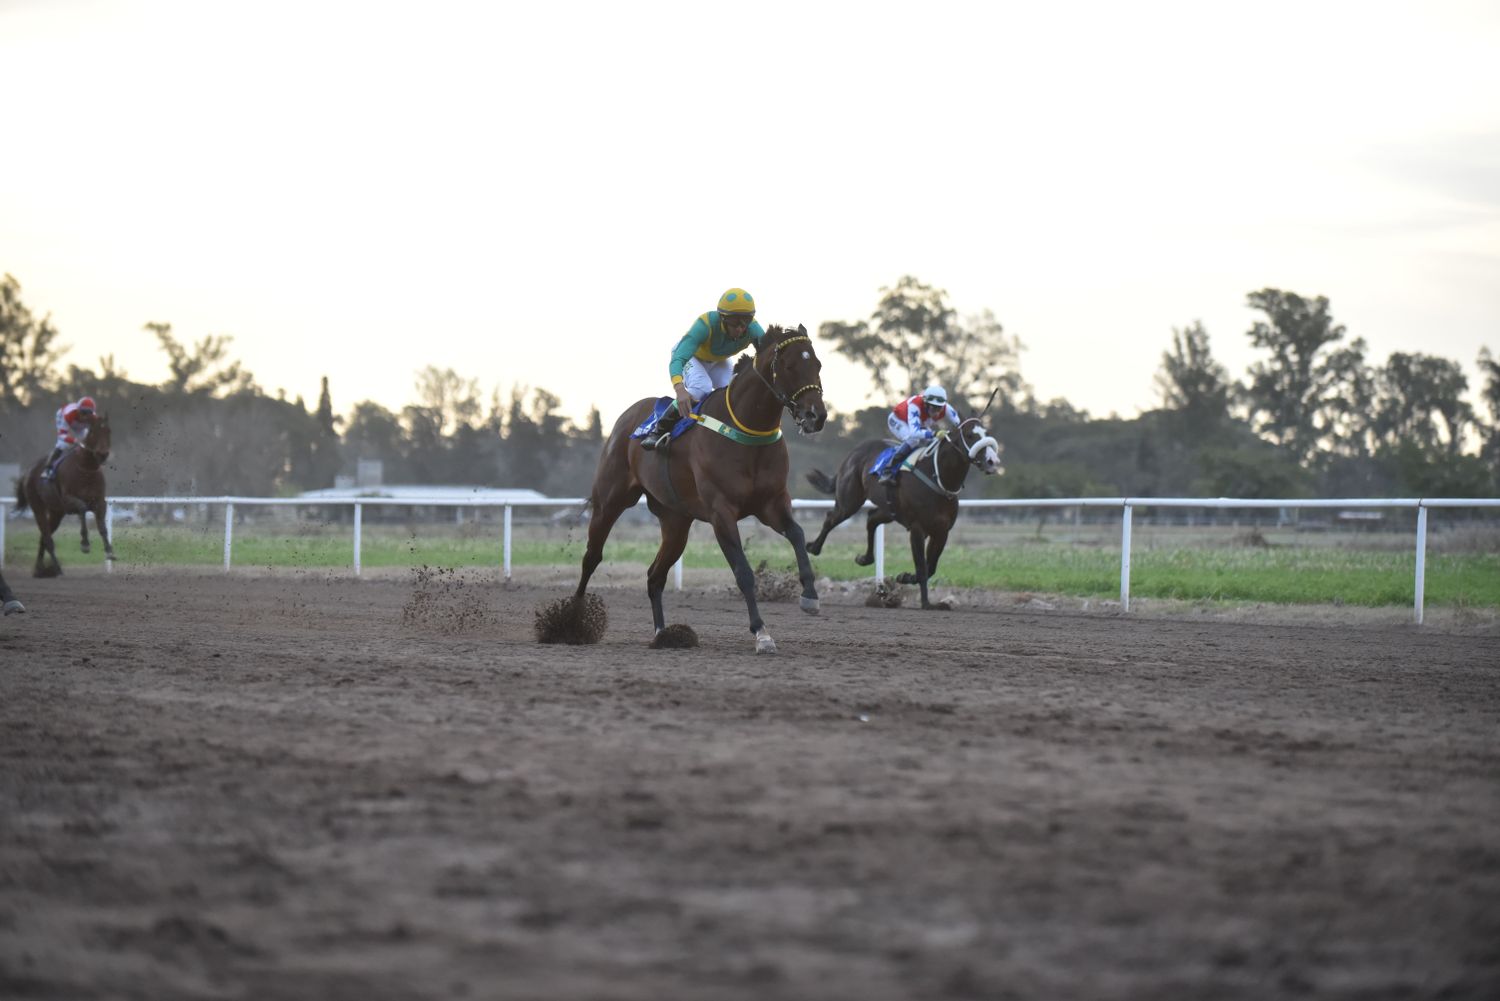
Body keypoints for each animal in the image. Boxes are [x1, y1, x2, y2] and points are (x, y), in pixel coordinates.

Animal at [16, 411, 114, 576]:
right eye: (93, 432)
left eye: (108, 431)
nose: (103, 454)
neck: (86, 469)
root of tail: (28, 472)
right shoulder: (68, 501)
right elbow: (82, 508)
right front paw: (85, 544)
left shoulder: (100, 502)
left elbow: (102, 526)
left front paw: (109, 551)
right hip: (38, 507)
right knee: (47, 539)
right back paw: (57, 568)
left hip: (56, 513)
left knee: (44, 537)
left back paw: (39, 569)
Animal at [546, 325, 834, 654]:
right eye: (789, 366)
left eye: (818, 365)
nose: (816, 416)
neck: (746, 430)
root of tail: (626, 417)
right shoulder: (721, 511)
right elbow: (743, 572)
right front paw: (762, 633)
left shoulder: (772, 503)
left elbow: (797, 535)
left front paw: (810, 597)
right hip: (610, 501)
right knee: (591, 557)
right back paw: (571, 623)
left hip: (675, 522)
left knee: (654, 576)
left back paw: (663, 634)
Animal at [804, 417, 1002, 612]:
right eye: (970, 435)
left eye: (986, 433)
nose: (992, 461)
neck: (938, 478)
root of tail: (855, 451)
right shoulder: (917, 528)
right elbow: (922, 567)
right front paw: (926, 603)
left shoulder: (941, 531)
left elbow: (930, 567)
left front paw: (905, 578)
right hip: (849, 501)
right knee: (831, 518)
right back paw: (813, 547)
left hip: (889, 510)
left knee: (871, 518)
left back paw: (865, 558)